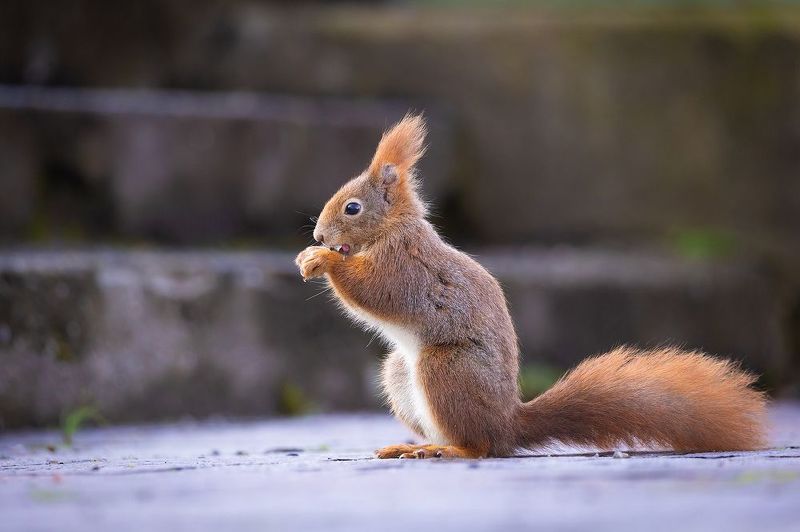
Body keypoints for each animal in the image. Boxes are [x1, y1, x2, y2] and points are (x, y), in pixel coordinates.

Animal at [295, 113, 767, 459]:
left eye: (352, 208)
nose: (319, 235)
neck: (393, 230)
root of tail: (509, 424)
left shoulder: (406, 267)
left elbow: (376, 290)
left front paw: (321, 260)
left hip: (446, 369)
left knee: (481, 447)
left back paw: (447, 451)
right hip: (399, 374)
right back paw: (413, 447)